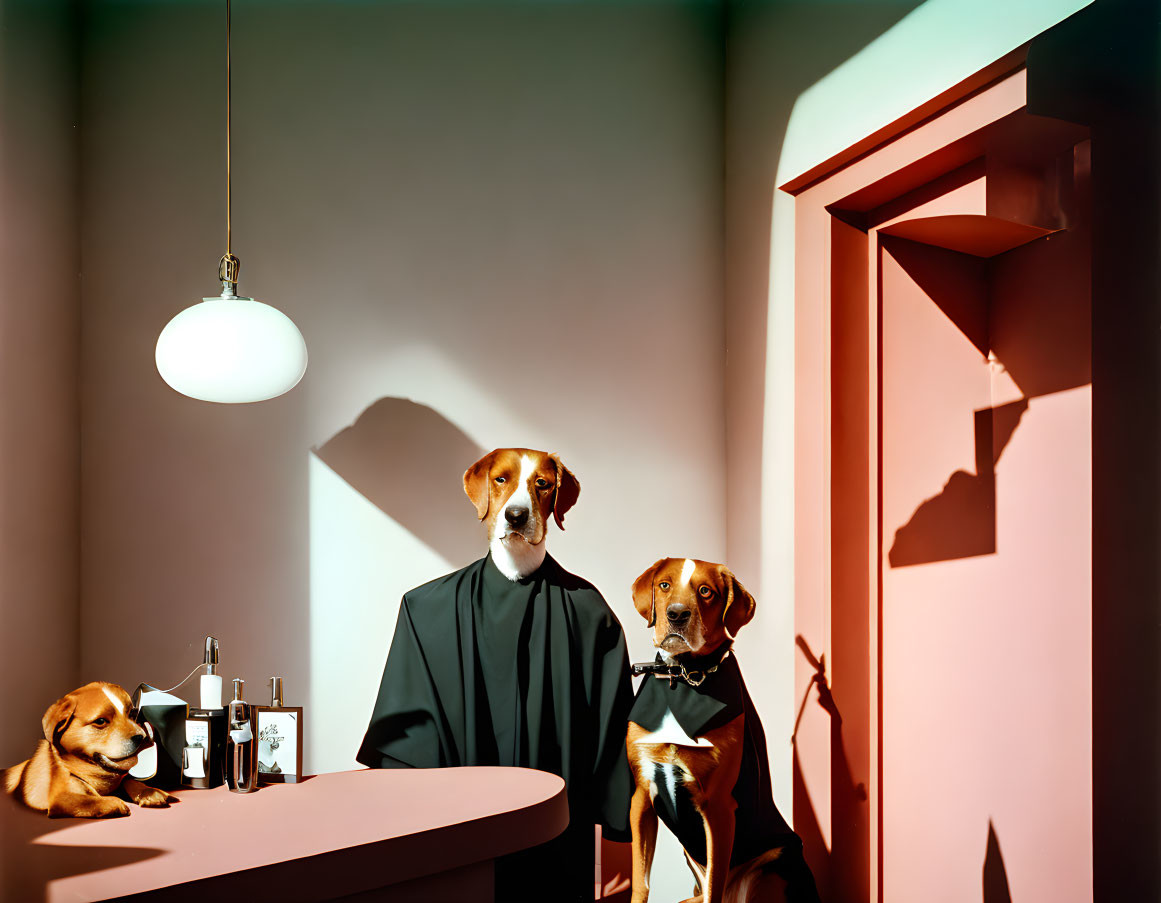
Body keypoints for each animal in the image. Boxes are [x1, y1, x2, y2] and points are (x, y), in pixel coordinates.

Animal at [1, 677, 174, 817]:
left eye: (132, 714)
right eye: (101, 721)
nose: (143, 737)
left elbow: (129, 781)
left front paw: (149, 791)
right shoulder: (61, 798)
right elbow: (91, 799)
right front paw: (115, 802)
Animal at [626, 554, 817, 900]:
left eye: (706, 591)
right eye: (664, 585)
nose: (676, 614)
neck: (683, 677)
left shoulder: (717, 807)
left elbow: (715, 881)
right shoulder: (642, 795)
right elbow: (641, 881)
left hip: (778, 859)